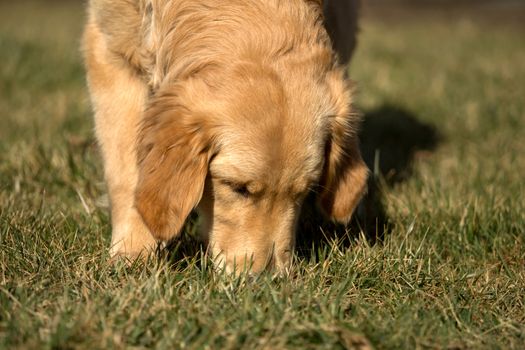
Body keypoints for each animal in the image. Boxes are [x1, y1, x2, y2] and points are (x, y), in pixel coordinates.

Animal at [84, 0, 366, 272]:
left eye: (305, 191)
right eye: (237, 187)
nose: (265, 278)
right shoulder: (110, 48)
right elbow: (126, 173)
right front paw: (133, 251)